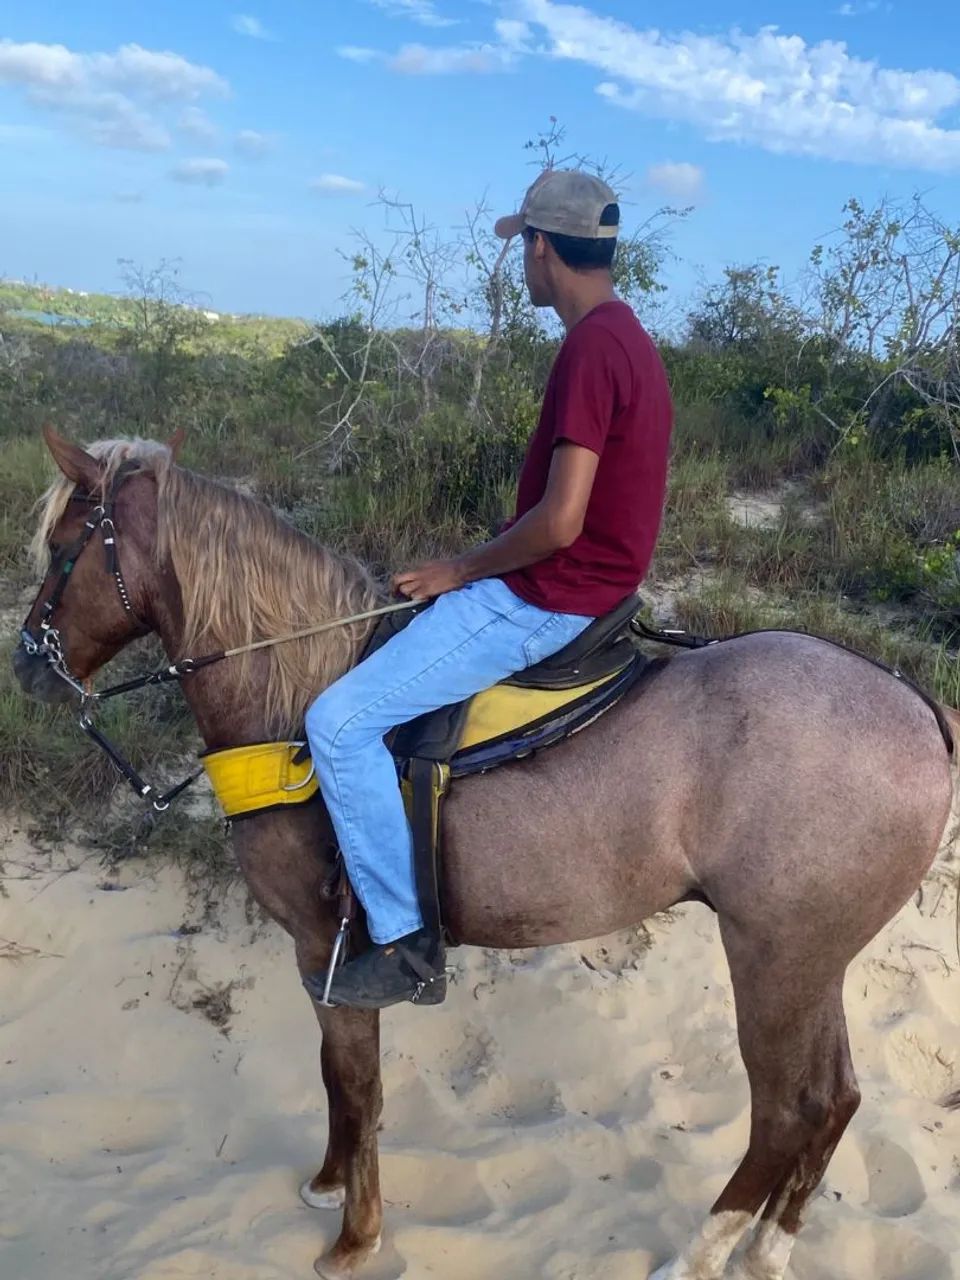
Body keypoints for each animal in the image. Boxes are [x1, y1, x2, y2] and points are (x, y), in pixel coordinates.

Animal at [12, 427, 959, 1280]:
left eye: (63, 549)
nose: (27, 666)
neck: (291, 699)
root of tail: (920, 710)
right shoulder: (319, 961)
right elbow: (334, 1078)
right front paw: (328, 1182)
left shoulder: (327, 949)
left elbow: (357, 1083)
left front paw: (356, 1239)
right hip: (815, 960)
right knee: (835, 1098)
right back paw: (766, 1251)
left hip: (773, 958)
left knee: (786, 1111)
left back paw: (699, 1256)